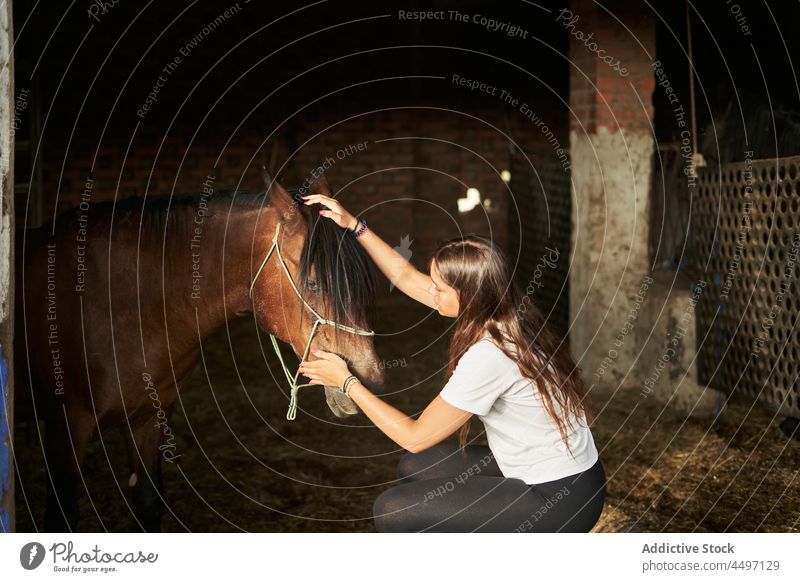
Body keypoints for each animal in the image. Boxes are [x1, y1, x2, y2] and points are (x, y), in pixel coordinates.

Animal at [14, 170, 384, 532]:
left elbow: (148, 503)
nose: (371, 379)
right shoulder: (67, 424)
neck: (130, 302)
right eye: (313, 283)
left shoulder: (150, 416)